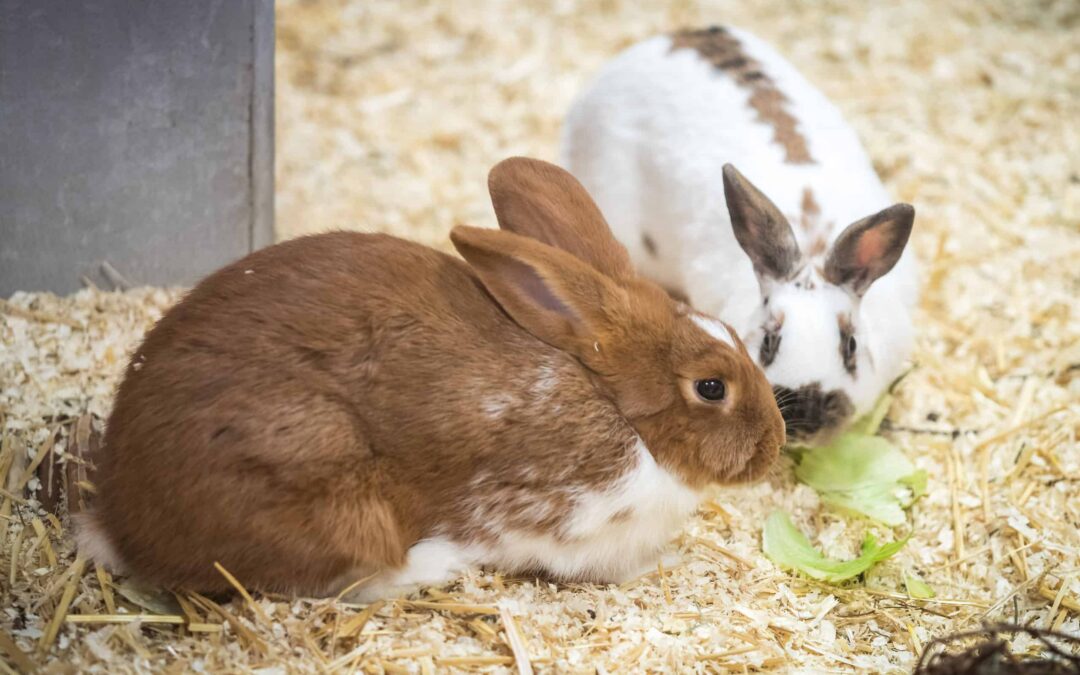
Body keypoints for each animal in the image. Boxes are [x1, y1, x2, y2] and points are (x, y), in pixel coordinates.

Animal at [78, 156, 786, 596]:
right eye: (712, 387)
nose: (774, 446)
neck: (616, 407)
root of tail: (122, 521)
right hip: (329, 488)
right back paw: (433, 567)